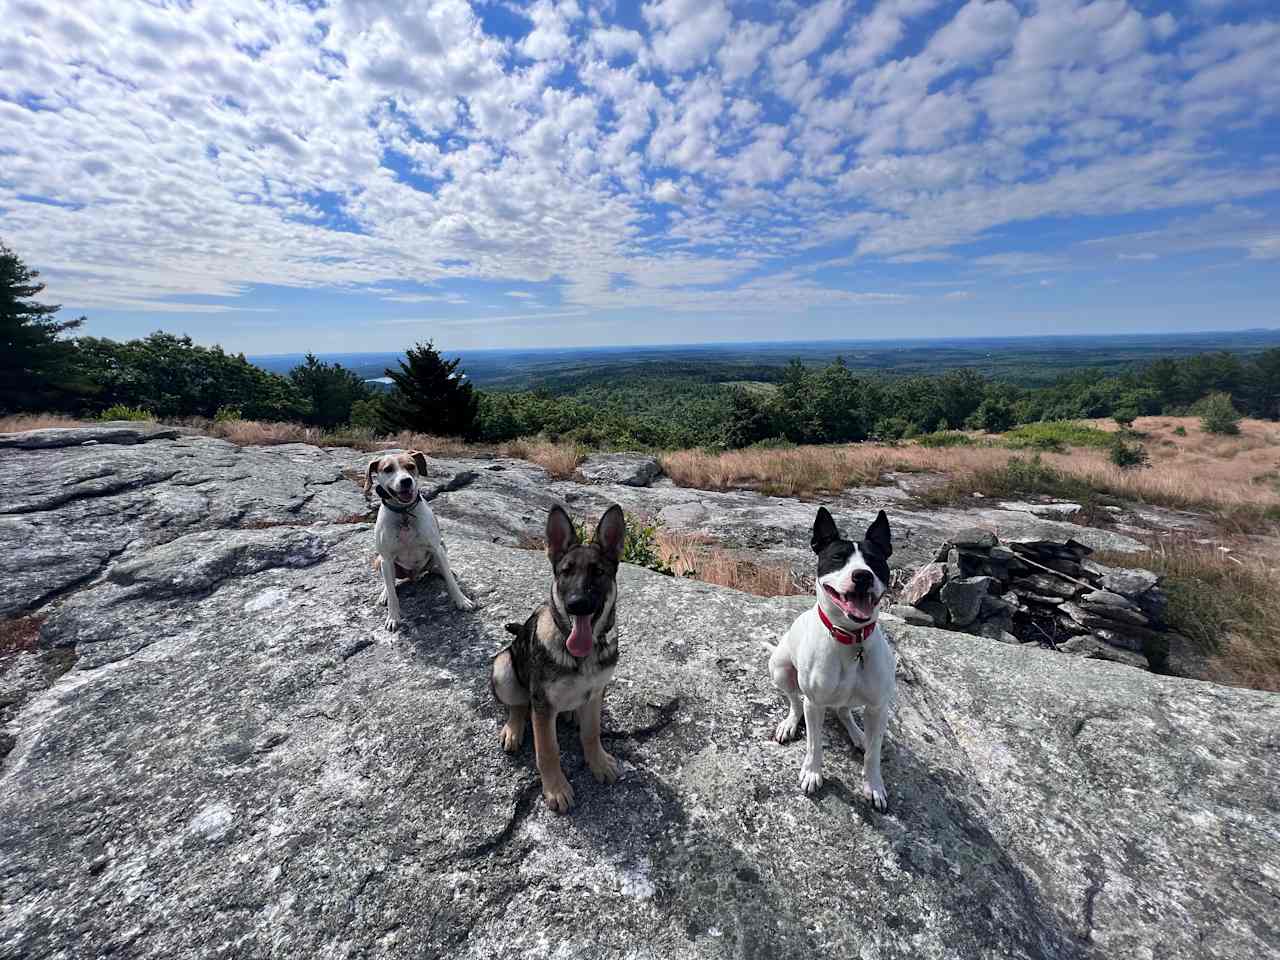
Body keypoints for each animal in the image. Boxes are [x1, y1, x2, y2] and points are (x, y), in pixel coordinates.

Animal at [366, 450, 476, 632]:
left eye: (411, 466)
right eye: (388, 469)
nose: (406, 481)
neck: (404, 512)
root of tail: (414, 576)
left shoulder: (436, 548)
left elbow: (451, 583)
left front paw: (461, 601)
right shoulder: (387, 558)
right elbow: (392, 594)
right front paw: (393, 617)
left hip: (442, 546)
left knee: (436, 568)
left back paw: (442, 570)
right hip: (379, 560)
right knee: (389, 582)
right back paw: (384, 594)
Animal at [488, 504, 624, 814]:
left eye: (598, 572)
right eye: (566, 572)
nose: (577, 604)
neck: (582, 655)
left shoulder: (597, 692)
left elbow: (592, 732)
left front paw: (598, 762)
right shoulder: (542, 704)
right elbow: (548, 749)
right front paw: (556, 788)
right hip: (503, 668)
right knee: (518, 704)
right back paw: (513, 729)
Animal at [762, 512, 896, 814]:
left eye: (875, 560)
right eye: (837, 558)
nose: (862, 576)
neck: (850, 638)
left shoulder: (879, 708)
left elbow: (874, 753)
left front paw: (874, 786)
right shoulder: (815, 704)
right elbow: (814, 744)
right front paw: (812, 773)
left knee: (845, 711)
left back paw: (858, 735)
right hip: (781, 669)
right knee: (794, 701)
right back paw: (789, 724)